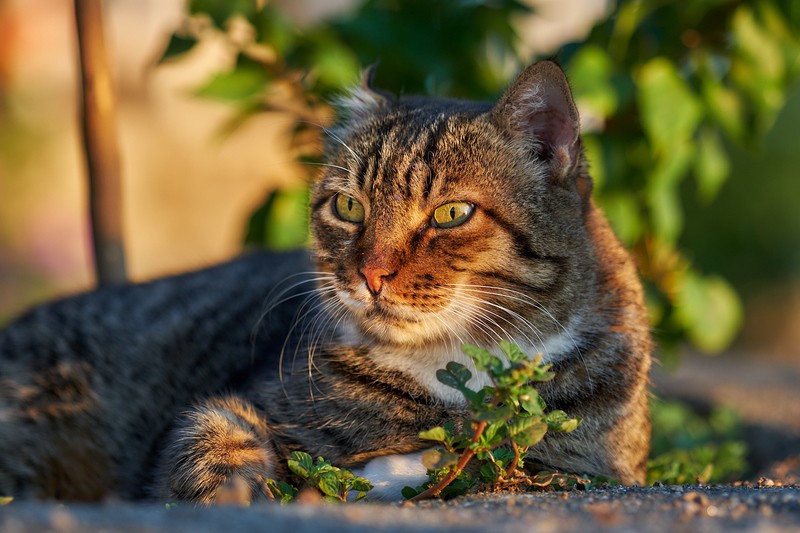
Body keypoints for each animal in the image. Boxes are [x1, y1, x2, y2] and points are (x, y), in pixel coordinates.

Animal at [0, 60, 648, 500]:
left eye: (451, 214)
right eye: (348, 207)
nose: (370, 273)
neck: (455, 365)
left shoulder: (591, 464)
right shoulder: (237, 404)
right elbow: (213, 442)